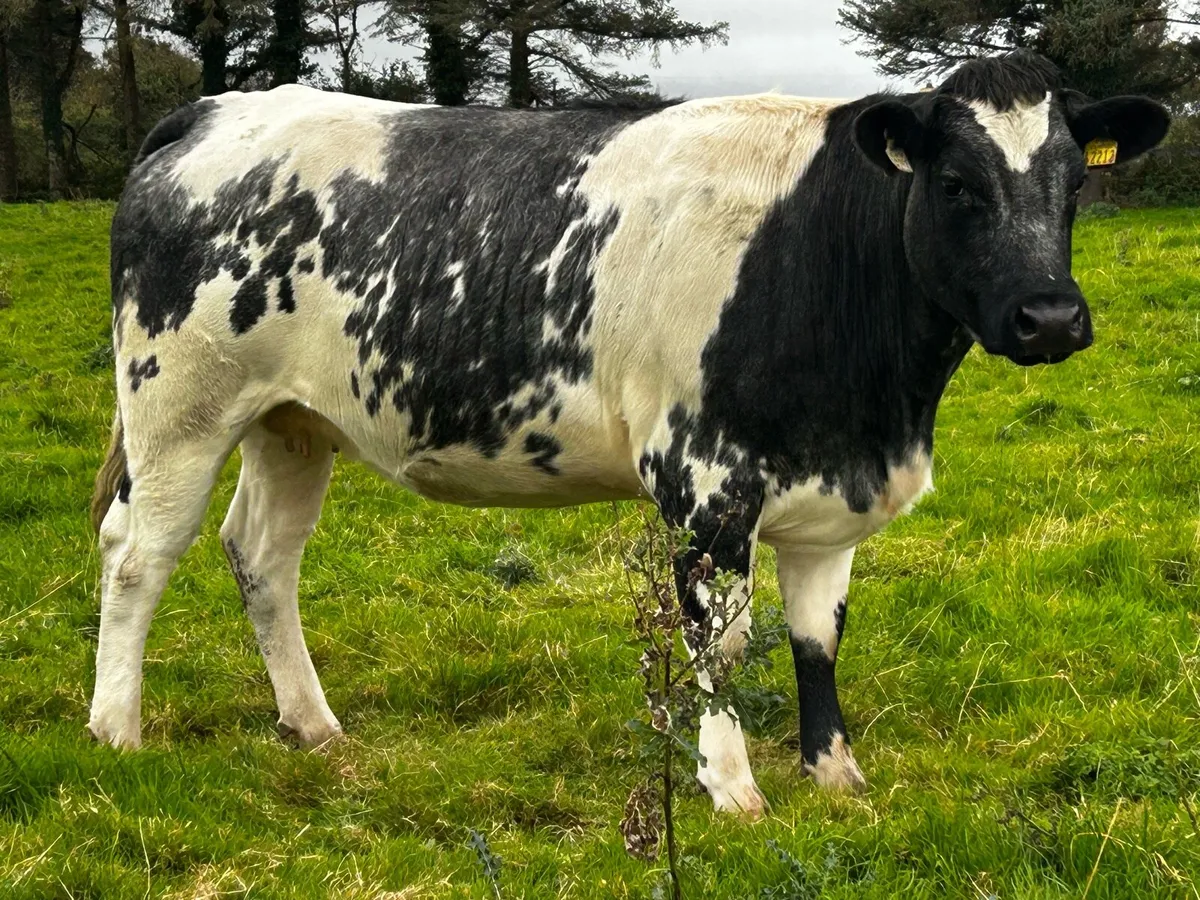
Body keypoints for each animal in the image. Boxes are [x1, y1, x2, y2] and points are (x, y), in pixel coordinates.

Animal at [88, 50, 1168, 818]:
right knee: (138, 555)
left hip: (292, 421)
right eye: (954, 183)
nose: (1050, 318)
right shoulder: (703, 477)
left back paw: (313, 726)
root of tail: (217, 111)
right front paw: (732, 789)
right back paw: (115, 731)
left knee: (262, 554)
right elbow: (722, 641)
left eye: (1073, 184)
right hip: (176, 401)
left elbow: (818, 639)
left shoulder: (830, 491)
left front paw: (835, 775)